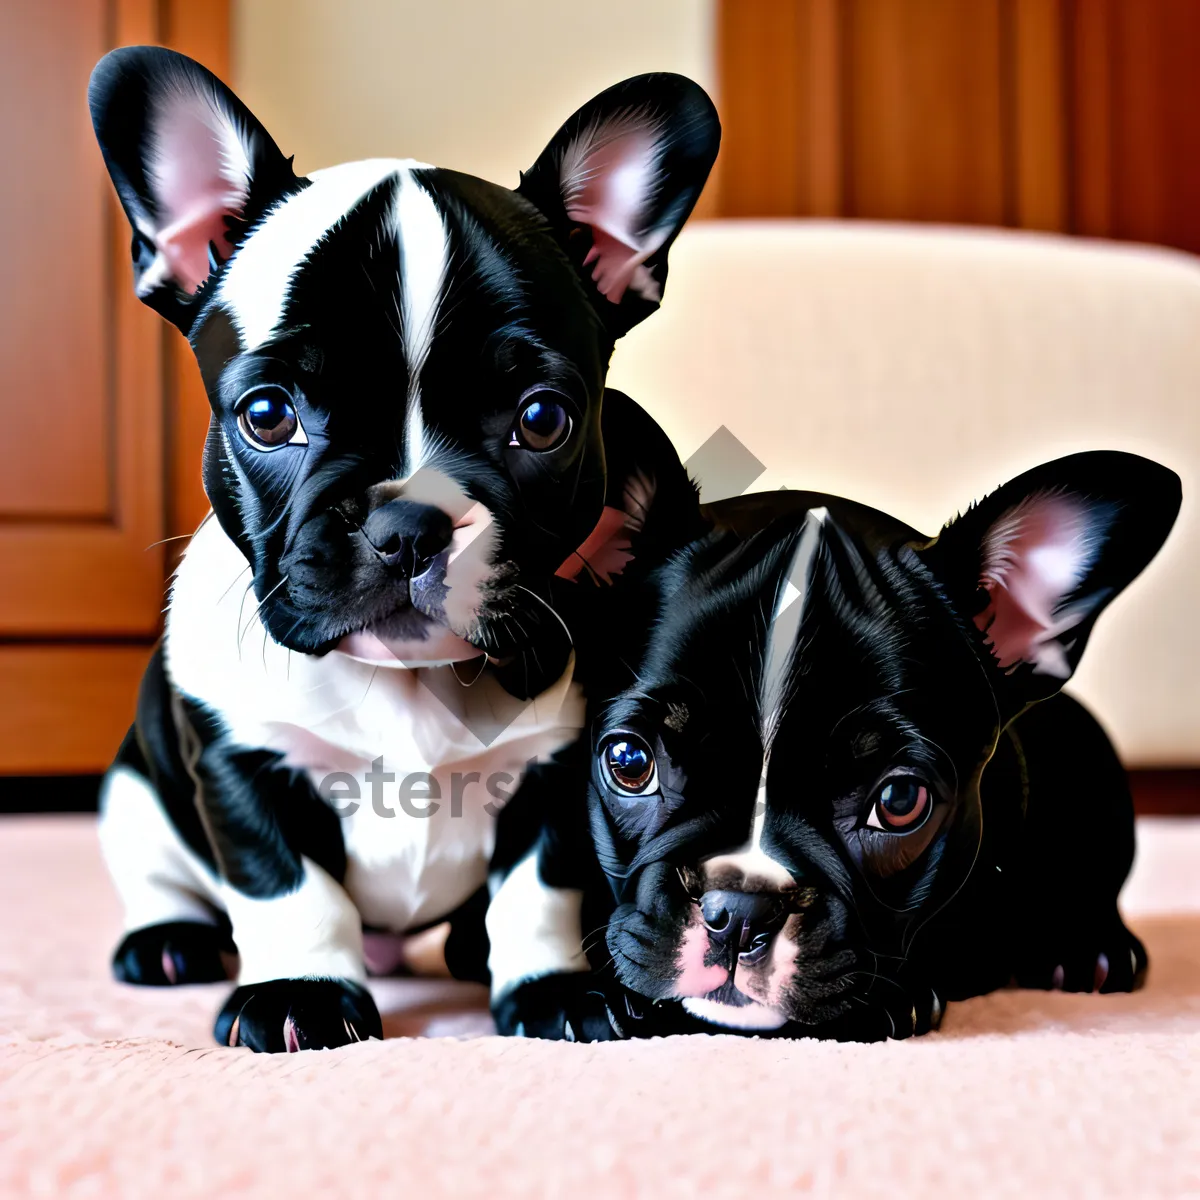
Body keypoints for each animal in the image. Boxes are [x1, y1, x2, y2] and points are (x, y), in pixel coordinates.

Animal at [93, 44, 715, 1051]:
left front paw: (552, 988)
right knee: (157, 872)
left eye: (543, 420)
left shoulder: (560, 771)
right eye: (268, 415)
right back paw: (169, 942)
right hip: (134, 793)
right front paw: (301, 992)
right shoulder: (240, 764)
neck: (404, 683)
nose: (406, 525)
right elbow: (288, 887)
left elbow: (540, 888)